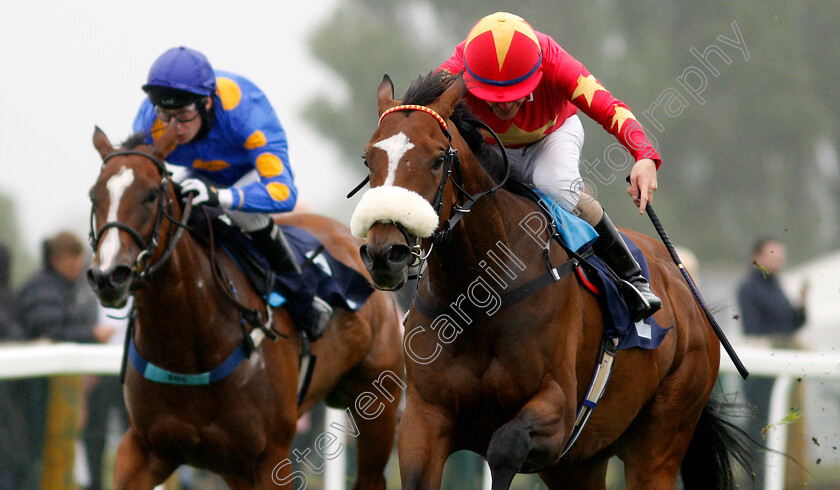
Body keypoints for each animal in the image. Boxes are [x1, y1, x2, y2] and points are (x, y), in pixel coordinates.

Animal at [87, 123, 402, 490]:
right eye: (94, 196)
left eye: (152, 194)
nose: (108, 276)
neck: (189, 346)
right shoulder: (145, 448)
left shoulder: (271, 457)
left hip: (378, 399)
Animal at [352, 73, 752, 490]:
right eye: (369, 158)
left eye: (436, 159)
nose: (385, 253)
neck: (479, 296)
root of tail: (690, 297)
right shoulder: (424, 418)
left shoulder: (559, 411)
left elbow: (506, 444)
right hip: (580, 462)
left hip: (662, 437)